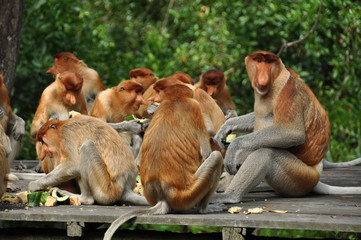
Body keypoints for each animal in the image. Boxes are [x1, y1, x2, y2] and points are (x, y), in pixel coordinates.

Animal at [102, 84, 224, 240]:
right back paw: (204, 209)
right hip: (188, 195)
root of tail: (163, 198)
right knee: (216, 157)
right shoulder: (194, 108)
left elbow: (138, 161)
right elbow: (206, 151)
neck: (174, 99)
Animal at [211, 51, 360, 204]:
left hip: (300, 176)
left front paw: (234, 146)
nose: (263, 78)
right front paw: (226, 127)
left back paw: (230, 195)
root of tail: (317, 175)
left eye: (269, 62)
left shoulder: (289, 90)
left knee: (266, 153)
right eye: (258, 61)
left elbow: (292, 132)